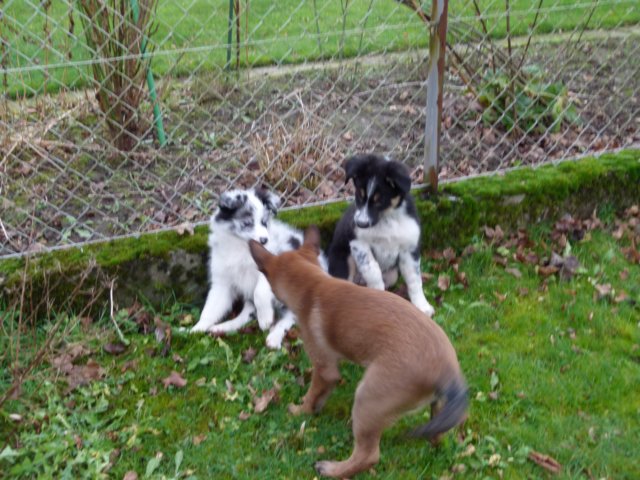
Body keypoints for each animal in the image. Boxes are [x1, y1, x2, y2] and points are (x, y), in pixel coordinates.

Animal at [190, 188, 307, 349]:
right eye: (247, 223)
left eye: (264, 222)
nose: (264, 240)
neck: (242, 247)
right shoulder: (222, 282)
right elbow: (211, 307)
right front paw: (197, 329)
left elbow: (260, 293)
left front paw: (265, 319)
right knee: (248, 313)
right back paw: (222, 327)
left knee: (289, 317)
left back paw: (274, 337)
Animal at [249, 226, 468, 478]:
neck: (313, 286)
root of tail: (447, 375)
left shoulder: (324, 368)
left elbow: (312, 394)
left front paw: (300, 410)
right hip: (433, 408)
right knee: (438, 435)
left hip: (368, 399)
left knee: (368, 455)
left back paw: (331, 468)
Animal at [328, 153, 435, 316]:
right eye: (359, 194)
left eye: (380, 200)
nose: (360, 224)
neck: (387, 219)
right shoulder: (359, 244)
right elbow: (373, 272)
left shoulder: (409, 248)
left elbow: (414, 279)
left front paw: (422, 306)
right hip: (345, 260)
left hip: (392, 274)